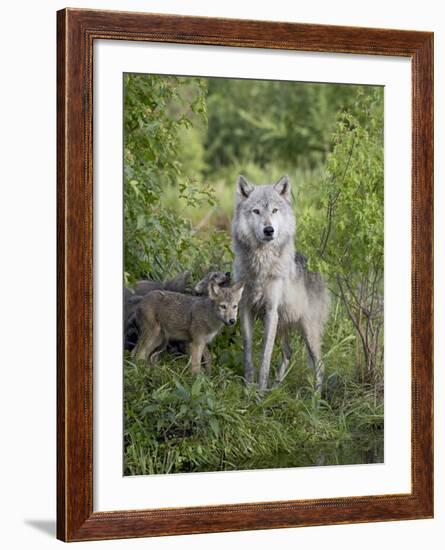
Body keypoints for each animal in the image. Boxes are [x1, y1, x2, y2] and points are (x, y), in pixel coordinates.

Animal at [232, 176, 330, 392]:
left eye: (275, 210)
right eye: (256, 211)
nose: (269, 230)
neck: (261, 264)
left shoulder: (271, 311)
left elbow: (265, 358)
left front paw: (260, 393)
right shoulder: (245, 308)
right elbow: (248, 353)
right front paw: (248, 388)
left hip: (308, 331)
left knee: (320, 365)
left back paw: (315, 398)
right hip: (283, 325)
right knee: (288, 352)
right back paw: (276, 389)